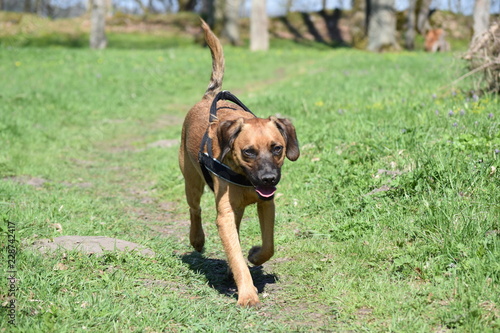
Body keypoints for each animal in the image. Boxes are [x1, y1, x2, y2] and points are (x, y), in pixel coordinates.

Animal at [178, 20, 298, 306]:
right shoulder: (225, 214)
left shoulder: (267, 204)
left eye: (277, 148)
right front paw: (247, 293)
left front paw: (254, 255)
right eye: (248, 152)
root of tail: (207, 98)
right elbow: (235, 255)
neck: (244, 179)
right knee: (195, 209)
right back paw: (197, 239)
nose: (269, 179)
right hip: (191, 181)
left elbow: (268, 246)